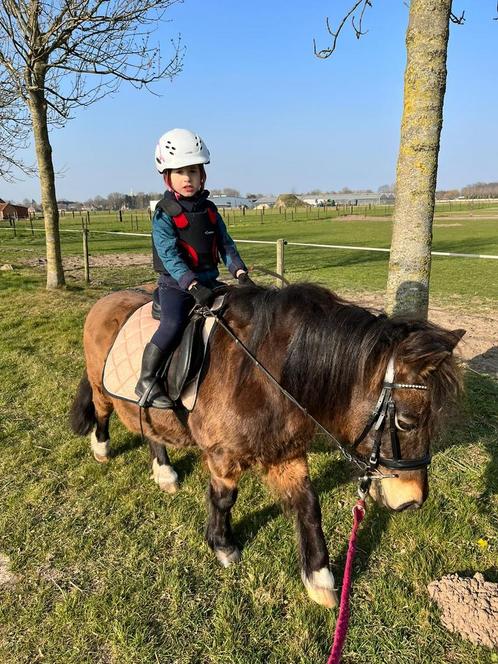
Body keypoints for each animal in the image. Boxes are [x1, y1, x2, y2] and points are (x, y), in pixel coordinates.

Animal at [69, 280, 462, 608]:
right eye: (407, 421)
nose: (414, 500)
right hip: (102, 388)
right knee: (103, 413)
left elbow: (308, 505)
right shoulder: (223, 455)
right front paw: (223, 545)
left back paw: (164, 472)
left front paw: (320, 578)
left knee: (152, 431)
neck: (266, 375)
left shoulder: (286, 453)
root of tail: (104, 302)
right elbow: (223, 499)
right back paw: (102, 449)